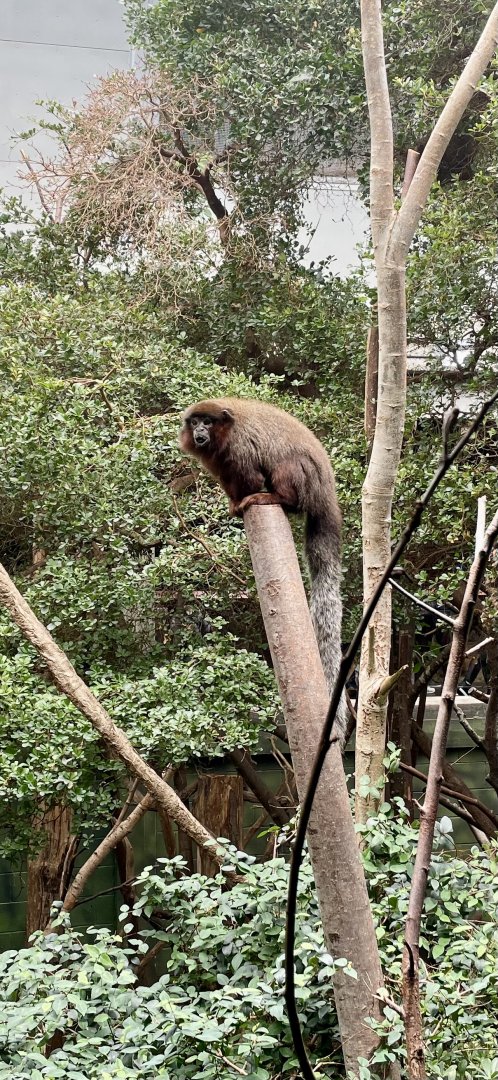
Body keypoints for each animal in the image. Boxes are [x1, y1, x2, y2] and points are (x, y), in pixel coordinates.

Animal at [179, 397, 348, 748]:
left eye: (208, 422)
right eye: (195, 422)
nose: (200, 432)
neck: (224, 436)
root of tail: (327, 492)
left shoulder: (241, 447)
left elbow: (251, 474)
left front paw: (249, 497)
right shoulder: (219, 463)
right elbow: (229, 480)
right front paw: (235, 504)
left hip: (306, 480)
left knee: (287, 467)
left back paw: (276, 497)